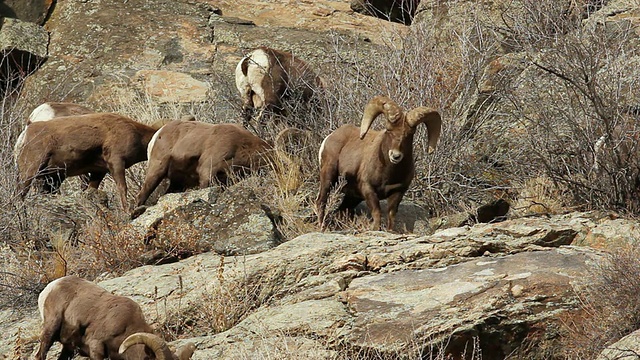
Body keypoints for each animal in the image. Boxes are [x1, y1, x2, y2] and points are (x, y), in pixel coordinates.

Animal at [14, 112, 161, 208]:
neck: (136, 134)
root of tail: (23, 137)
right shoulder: (116, 162)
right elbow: (122, 188)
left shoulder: (99, 171)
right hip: (30, 172)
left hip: (51, 178)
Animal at [314, 95, 440, 231]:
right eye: (388, 130)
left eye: (410, 134)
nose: (395, 156)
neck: (388, 174)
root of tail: (330, 137)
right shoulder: (369, 190)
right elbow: (377, 213)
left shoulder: (397, 193)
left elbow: (391, 216)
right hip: (328, 178)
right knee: (321, 202)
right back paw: (322, 227)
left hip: (352, 197)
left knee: (340, 210)